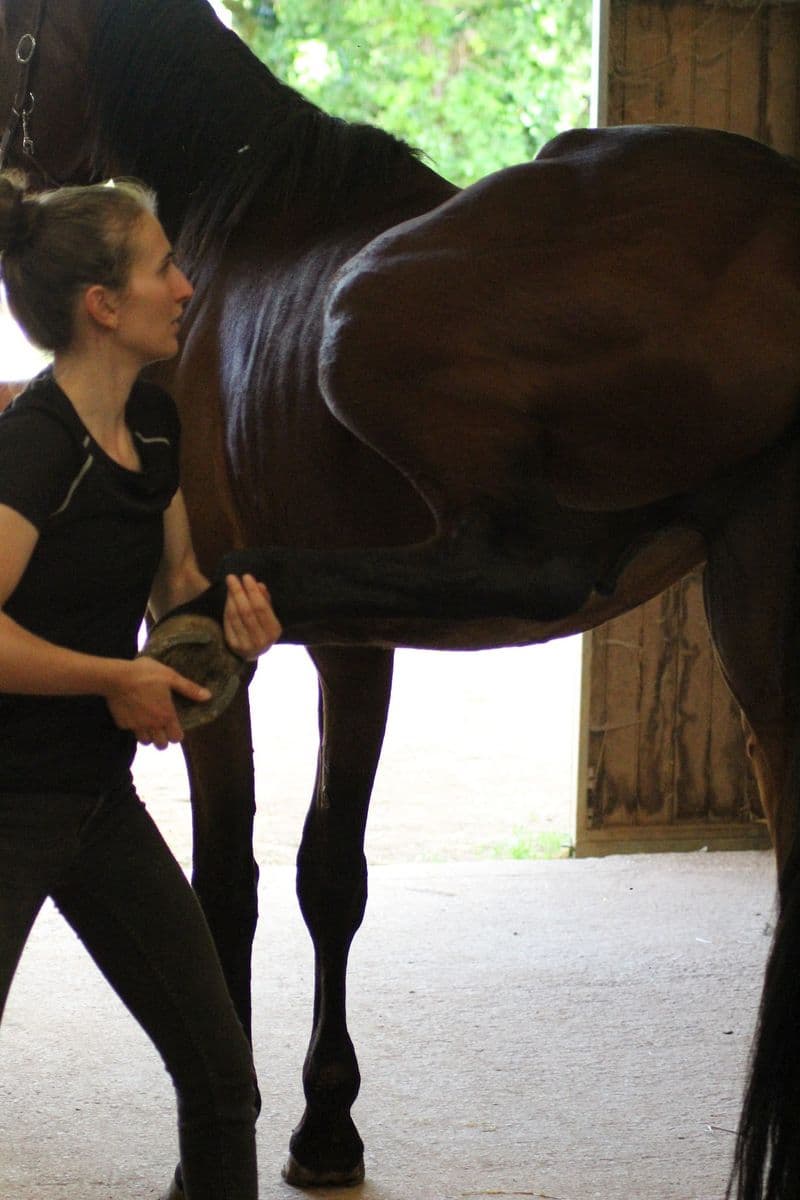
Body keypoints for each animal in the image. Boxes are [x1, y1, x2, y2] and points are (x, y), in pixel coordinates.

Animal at [1, 2, 799, 1197]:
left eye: (7, 35)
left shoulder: (287, 655)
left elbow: (232, 881)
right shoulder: (361, 654)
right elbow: (330, 877)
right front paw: (325, 1126)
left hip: (366, 326)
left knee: (533, 562)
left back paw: (251, 593)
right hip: (760, 632)